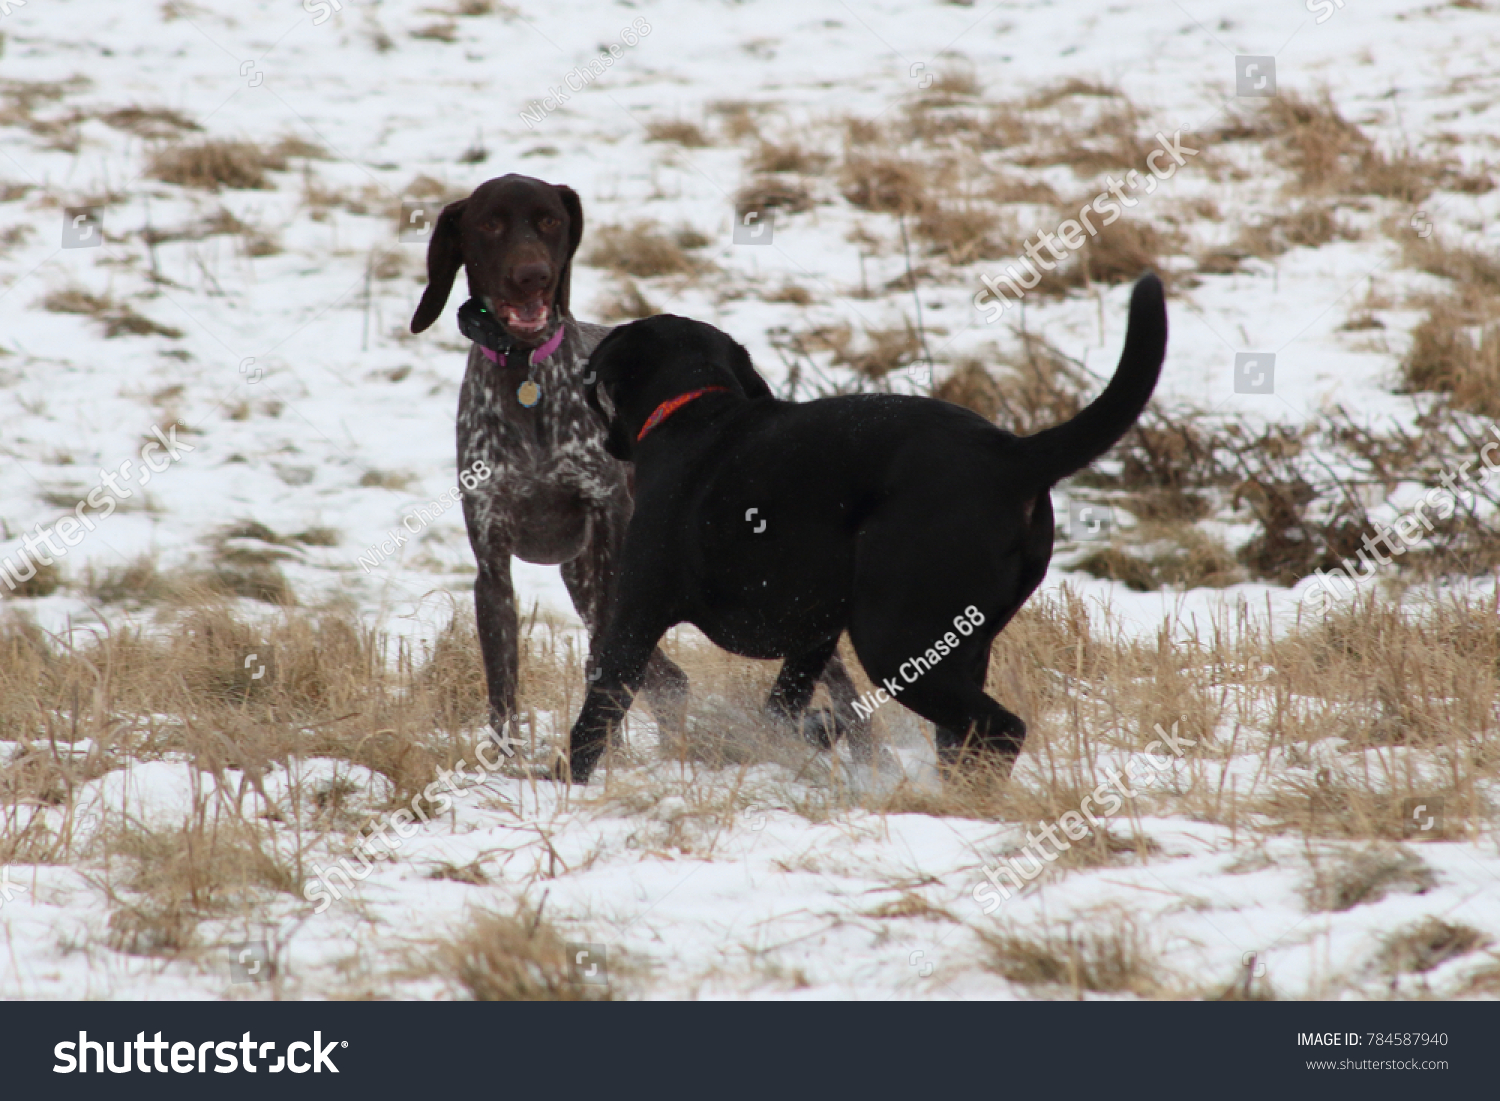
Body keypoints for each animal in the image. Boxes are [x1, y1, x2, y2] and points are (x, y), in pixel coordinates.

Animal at [411, 174, 870, 768]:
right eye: (489, 223)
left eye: (549, 220)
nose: (533, 275)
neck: (525, 376)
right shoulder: (493, 567)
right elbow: (504, 683)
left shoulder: (613, 553)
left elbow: (603, 671)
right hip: (586, 581)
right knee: (670, 681)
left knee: (837, 685)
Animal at [558, 280, 1164, 792]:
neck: (694, 410)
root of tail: (1013, 455)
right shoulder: (813, 634)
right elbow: (783, 707)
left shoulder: (635, 616)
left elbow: (596, 713)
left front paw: (566, 783)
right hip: (960, 644)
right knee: (964, 739)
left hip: (894, 639)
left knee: (1001, 728)